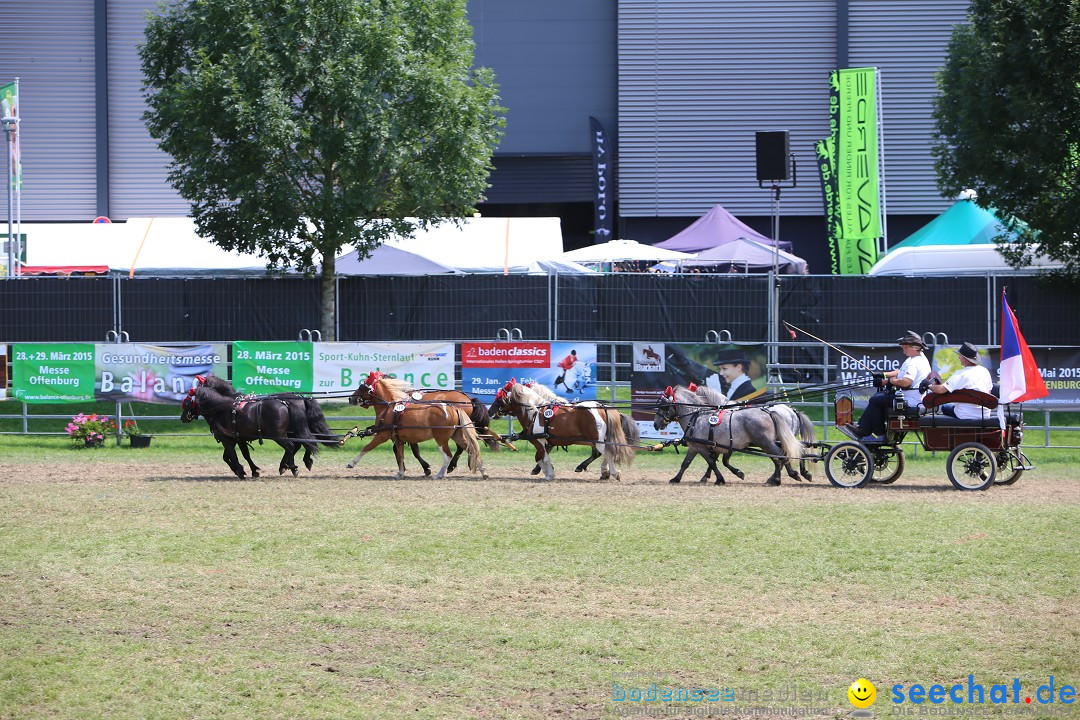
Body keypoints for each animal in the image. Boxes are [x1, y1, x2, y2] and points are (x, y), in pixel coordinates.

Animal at [347, 371, 511, 479]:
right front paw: (401, 472)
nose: (350, 398)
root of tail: (456, 407)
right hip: (457, 434)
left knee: (449, 454)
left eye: (362, 386)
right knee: (471, 449)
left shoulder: (382, 435)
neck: (391, 407)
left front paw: (352, 463)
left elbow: (367, 448)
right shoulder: (398, 438)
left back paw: (441, 473)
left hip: (441, 438)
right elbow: (400, 454)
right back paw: (483, 472)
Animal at [488, 379, 635, 481]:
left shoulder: (540, 441)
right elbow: (539, 458)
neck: (534, 412)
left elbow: (543, 458)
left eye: (499, 398)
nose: (489, 411)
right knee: (605, 453)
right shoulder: (547, 443)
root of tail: (602, 407)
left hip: (597, 440)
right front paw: (546, 472)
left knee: (608, 453)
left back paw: (613, 473)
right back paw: (604, 472)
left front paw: (549, 474)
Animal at [652, 386, 807, 487]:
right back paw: (778, 479)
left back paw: (790, 475)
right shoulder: (697, 447)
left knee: (780, 456)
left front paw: (719, 479)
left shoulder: (702, 447)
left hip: (766, 442)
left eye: (664, 405)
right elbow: (686, 463)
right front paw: (676, 478)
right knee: (777, 458)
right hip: (767, 443)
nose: (655, 424)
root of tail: (769, 413)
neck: (695, 416)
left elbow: (712, 462)